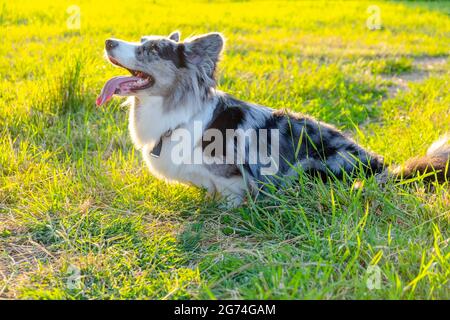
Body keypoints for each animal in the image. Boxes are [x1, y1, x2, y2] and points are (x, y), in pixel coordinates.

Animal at [98, 31, 450, 206]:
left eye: (152, 50)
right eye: (141, 41)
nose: (108, 42)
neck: (178, 114)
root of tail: (382, 168)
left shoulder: (235, 177)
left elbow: (230, 196)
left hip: (313, 168)